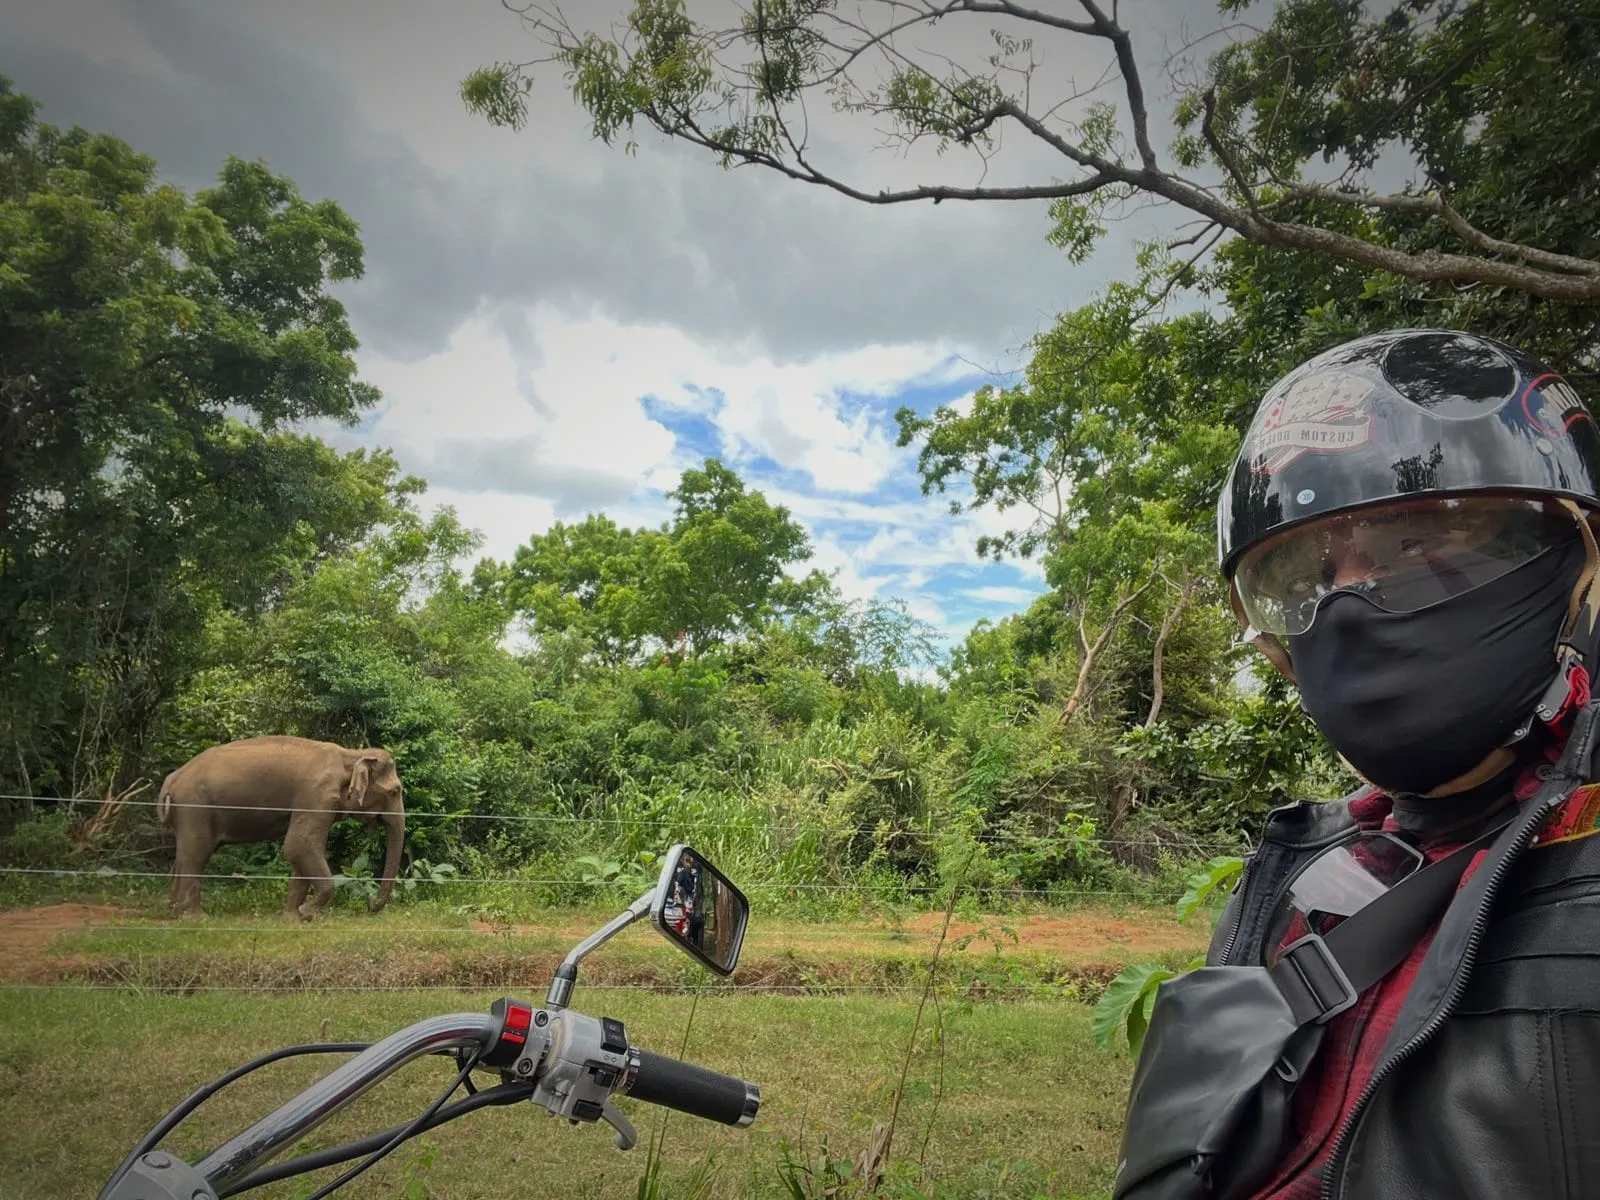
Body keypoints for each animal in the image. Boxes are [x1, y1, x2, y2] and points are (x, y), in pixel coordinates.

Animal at [157, 735, 406, 920]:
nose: (370, 903)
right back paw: (197, 918)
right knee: (195, 856)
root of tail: (171, 779)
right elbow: (298, 846)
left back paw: (174, 912)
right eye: (396, 791)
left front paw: (294, 918)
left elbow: (301, 851)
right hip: (194, 808)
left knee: (183, 855)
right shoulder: (316, 795)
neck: (351, 754)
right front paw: (306, 912)